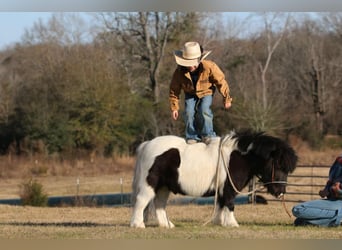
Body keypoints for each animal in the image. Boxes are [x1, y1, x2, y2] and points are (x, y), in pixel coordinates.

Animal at [130, 131, 298, 229]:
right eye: (278, 165)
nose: (281, 192)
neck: (238, 157)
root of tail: (147, 144)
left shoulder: (222, 189)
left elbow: (220, 204)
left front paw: (219, 222)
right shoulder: (229, 188)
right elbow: (229, 204)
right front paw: (232, 224)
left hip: (163, 187)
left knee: (159, 204)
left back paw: (167, 225)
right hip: (149, 184)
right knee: (142, 201)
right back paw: (138, 224)